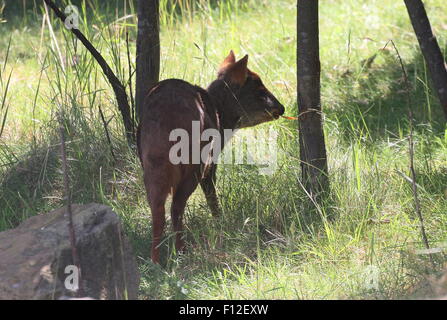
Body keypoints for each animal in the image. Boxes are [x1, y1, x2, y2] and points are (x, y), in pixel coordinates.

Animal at [136, 51, 286, 264]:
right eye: (259, 88)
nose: (281, 108)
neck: (221, 117)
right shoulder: (212, 161)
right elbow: (212, 196)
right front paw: (220, 221)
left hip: (151, 163)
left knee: (157, 210)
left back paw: (155, 260)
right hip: (196, 162)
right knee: (176, 206)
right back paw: (181, 251)